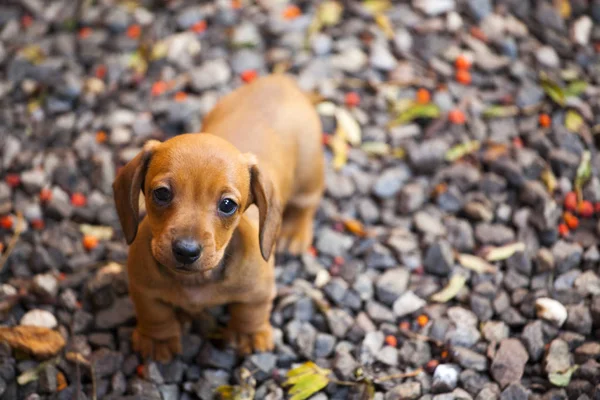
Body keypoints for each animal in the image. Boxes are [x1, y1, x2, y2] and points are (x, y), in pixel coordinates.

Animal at [112, 73, 324, 360]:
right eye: (162, 193)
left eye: (227, 205)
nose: (186, 251)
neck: (196, 280)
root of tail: (281, 81)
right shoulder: (143, 288)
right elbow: (155, 313)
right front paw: (158, 340)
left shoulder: (259, 289)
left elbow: (251, 311)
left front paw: (249, 335)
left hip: (309, 172)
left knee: (305, 204)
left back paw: (294, 233)